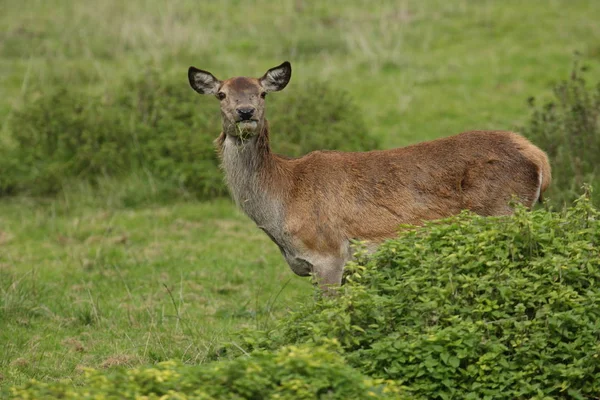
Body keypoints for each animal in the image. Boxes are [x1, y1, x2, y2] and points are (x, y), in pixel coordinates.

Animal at [189, 61, 552, 290]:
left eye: (262, 92)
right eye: (221, 94)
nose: (245, 112)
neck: (282, 201)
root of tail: (539, 157)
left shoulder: (329, 255)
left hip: (503, 212)